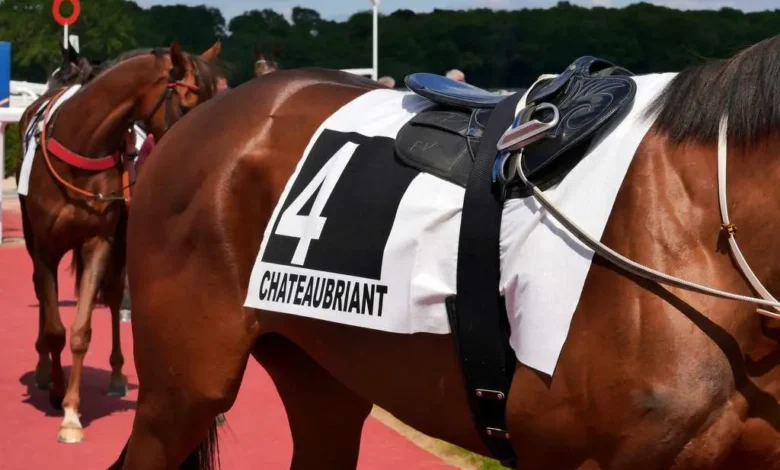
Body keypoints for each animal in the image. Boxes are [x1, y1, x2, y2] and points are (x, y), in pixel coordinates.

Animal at [16, 39, 222, 444]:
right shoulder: (46, 246)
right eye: (187, 106)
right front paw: (57, 391)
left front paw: (71, 412)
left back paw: (115, 375)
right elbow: (54, 327)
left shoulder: (100, 240)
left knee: (112, 299)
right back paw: (45, 370)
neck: (81, 145)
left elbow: (81, 330)